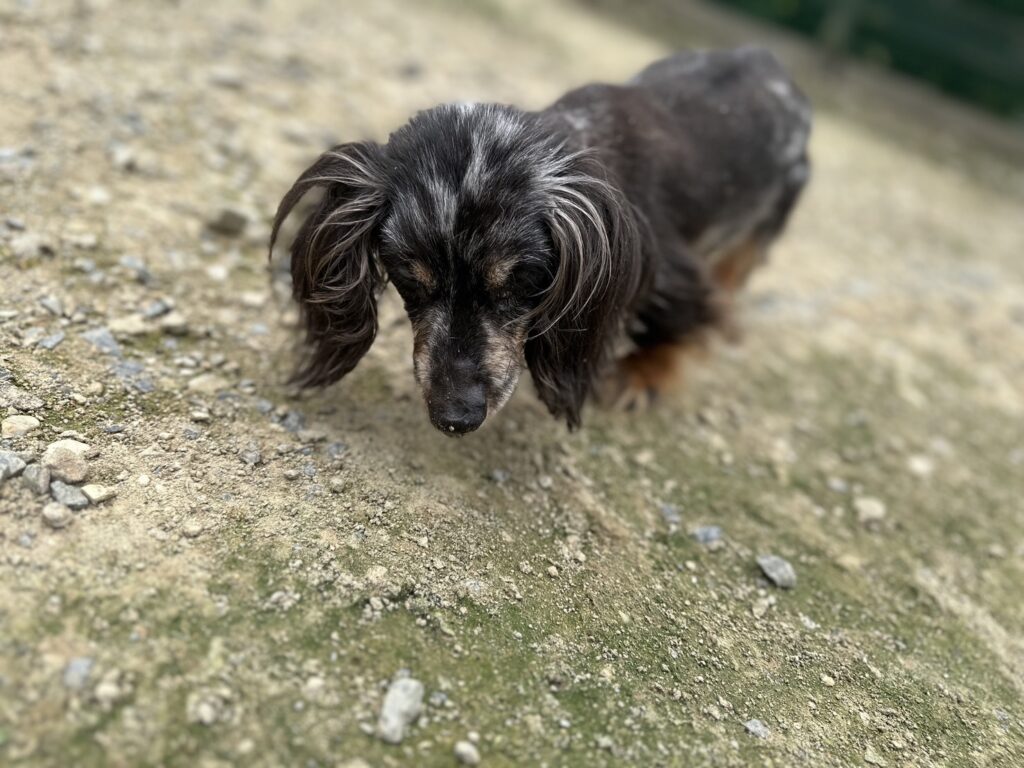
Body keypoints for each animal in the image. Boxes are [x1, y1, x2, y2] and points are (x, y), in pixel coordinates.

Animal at [270, 47, 811, 435]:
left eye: (523, 282)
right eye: (409, 278)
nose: (455, 417)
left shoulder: (672, 275)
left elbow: (684, 322)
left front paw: (643, 375)